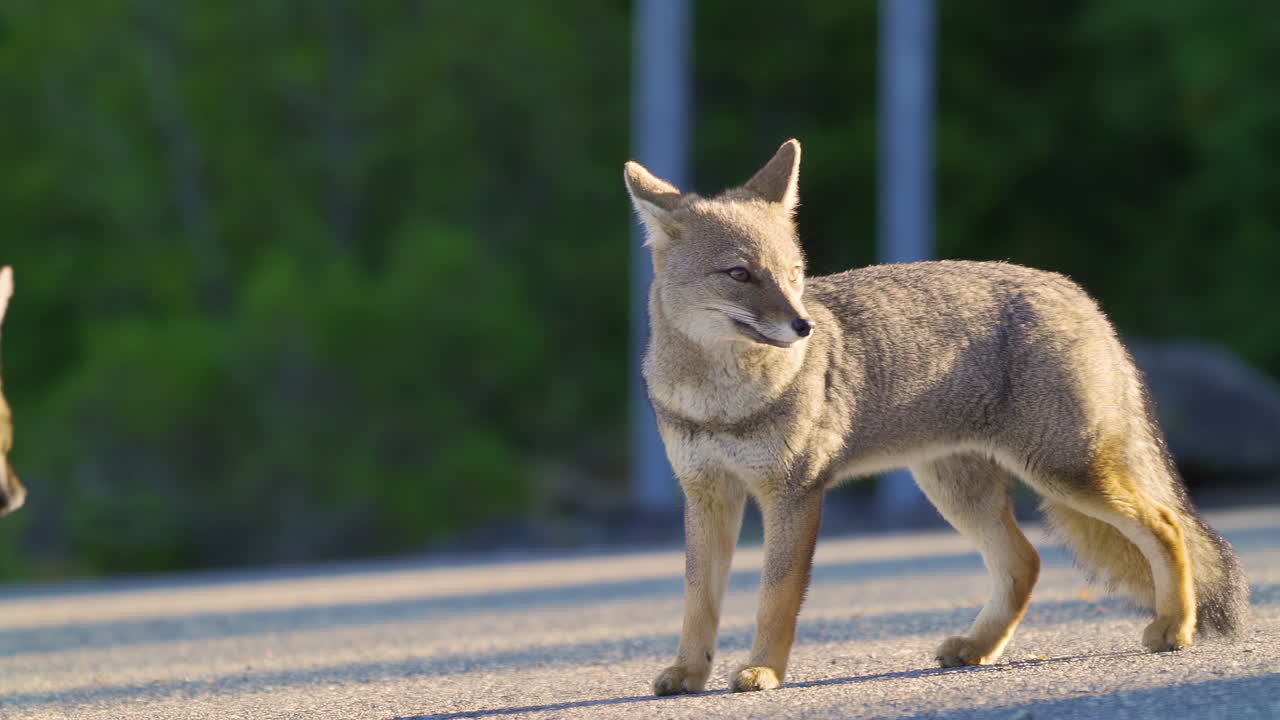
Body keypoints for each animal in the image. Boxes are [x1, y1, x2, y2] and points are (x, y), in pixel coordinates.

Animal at [623, 140, 1249, 695]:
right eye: (740, 275)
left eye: (795, 273)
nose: (805, 326)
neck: (720, 405)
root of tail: (1074, 291)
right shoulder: (707, 495)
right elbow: (698, 601)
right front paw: (689, 673)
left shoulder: (794, 494)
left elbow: (774, 599)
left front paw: (763, 671)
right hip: (960, 491)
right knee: (1025, 561)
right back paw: (977, 647)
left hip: (1066, 476)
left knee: (1165, 525)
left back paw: (1176, 627)